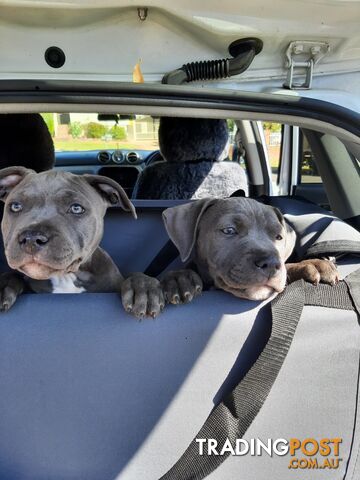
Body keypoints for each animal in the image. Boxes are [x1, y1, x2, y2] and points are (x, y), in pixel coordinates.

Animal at [0, 167, 165, 316]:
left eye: (76, 208)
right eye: (15, 206)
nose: (32, 238)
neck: (66, 278)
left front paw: (143, 288)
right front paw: (4, 284)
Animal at [160, 196, 338, 302]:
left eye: (279, 237)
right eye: (229, 230)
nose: (271, 264)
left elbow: (287, 267)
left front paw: (315, 264)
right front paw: (179, 279)